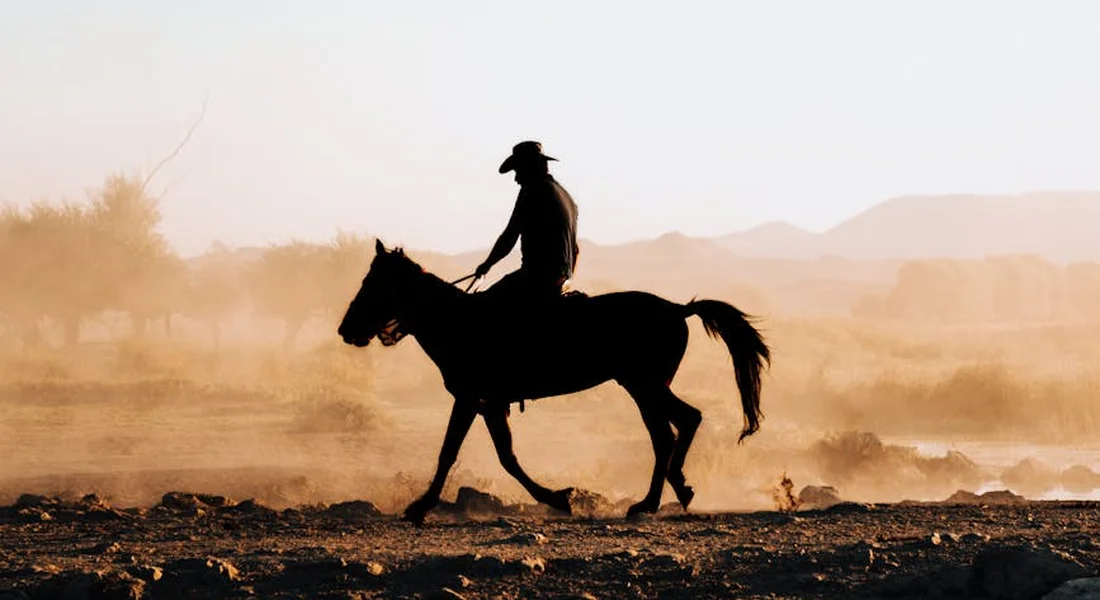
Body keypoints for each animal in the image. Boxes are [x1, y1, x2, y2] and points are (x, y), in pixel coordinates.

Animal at [337, 239, 771, 525]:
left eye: (373, 284)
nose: (346, 329)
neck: (458, 323)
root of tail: (678, 308)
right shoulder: (487, 402)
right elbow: (500, 455)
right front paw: (557, 496)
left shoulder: (473, 398)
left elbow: (461, 453)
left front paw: (420, 507)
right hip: (644, 386)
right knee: (674, 428)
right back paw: (668, 493)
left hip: (644, 385)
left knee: (677, 426)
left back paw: (658, 497)